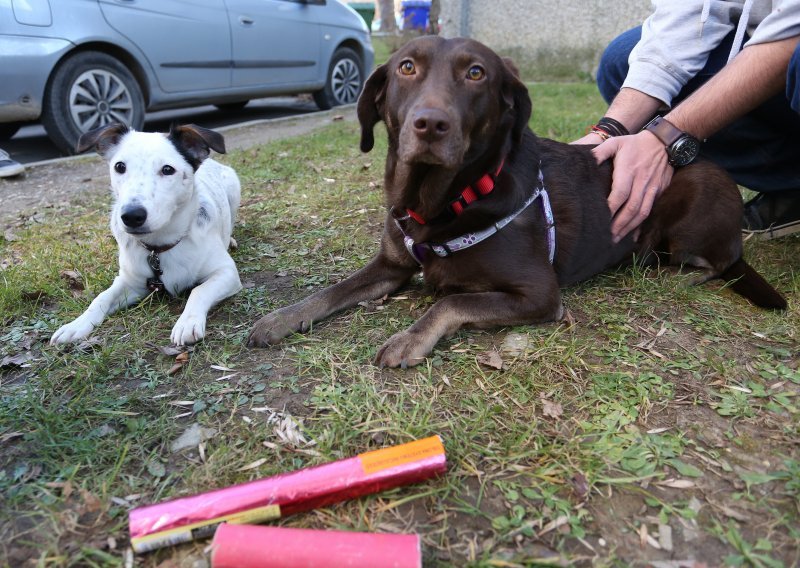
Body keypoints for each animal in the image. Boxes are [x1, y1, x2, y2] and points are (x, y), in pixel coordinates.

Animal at [50, 123, 242, 346]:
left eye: (167, 169)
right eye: (119, 166)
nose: (132, 216)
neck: (159, 247)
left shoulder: (226, 272)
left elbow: (198, 290)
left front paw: (187, 322)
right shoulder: (131, 282)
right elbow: (102, 297)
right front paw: (76, 325)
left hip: (233, 188)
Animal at [247, 35, 784, 368]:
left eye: (476, 73)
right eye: (406, 67)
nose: (430, 124)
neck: (444, 202)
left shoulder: (539, 295)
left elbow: (453, 301)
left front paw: (409, 339)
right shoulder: (390, 265)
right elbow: (332, 291)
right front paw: (279, 319)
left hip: (696, 204)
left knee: (715, 263)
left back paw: (669, 272)